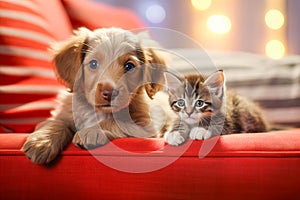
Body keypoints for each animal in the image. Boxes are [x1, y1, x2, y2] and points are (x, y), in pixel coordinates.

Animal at [21, 27, 166, 164]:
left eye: (129, 66)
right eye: (93, 63)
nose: (109, 93)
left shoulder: (146, 127)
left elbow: (116, 122)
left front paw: (91, 131)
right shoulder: (62, 114)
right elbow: (56, 123)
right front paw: (41, 142)